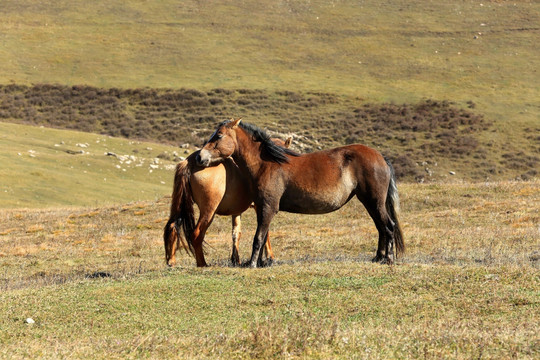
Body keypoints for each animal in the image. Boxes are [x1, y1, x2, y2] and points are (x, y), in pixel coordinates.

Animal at [163, 136, 292, 266]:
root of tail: (189, 161)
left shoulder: (237, 211)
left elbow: (236, 233)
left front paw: (236, 259)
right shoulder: (261, 206)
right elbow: (265, 232)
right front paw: (268, 257)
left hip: (181, 204)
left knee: (173, 226)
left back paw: (171, 260)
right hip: (208, 210)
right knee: (196, 234)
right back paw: (202, 263)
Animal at [196, 119, 402, 268]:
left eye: (219, 136)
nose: (199, 157)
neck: (266, 164)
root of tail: (380, 157)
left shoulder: (268, 208)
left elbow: (258, 238)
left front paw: (253, 264)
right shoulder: (262, 208)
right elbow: (263, 236)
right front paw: (262, 262)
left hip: (374, 201)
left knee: (388, 226)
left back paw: (389, 259)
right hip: (369, 202)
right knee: (381, 228)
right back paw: (378, 257)